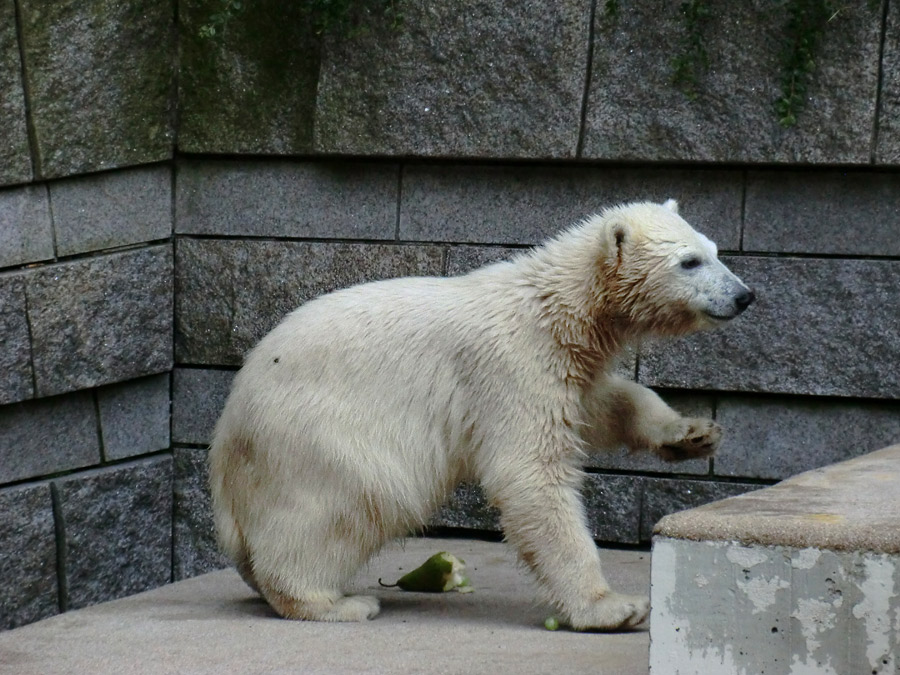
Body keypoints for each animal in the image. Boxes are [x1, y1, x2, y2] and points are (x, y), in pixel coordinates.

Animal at [209, 198, 752, 632]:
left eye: (716, 249)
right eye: (689, 261)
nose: (744, 295)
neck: (556, 306)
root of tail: (225, 440)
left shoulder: (565, 366)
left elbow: (602, 405)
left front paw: (693, 433)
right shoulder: (510, 365)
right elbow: (530, 474)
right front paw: (611, 607)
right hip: (318, 435)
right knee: (341, 507)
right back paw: (334, 603)